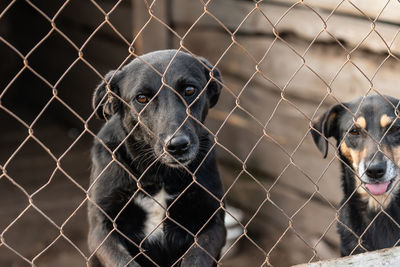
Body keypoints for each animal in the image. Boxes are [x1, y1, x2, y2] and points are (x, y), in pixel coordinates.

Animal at [87, 49, 225, 266]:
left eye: (189, 90)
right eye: (142, 98)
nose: (177, 146)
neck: (159, 174)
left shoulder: (213, 223)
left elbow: (196, 258)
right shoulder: (101, 229)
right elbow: (123, 261)